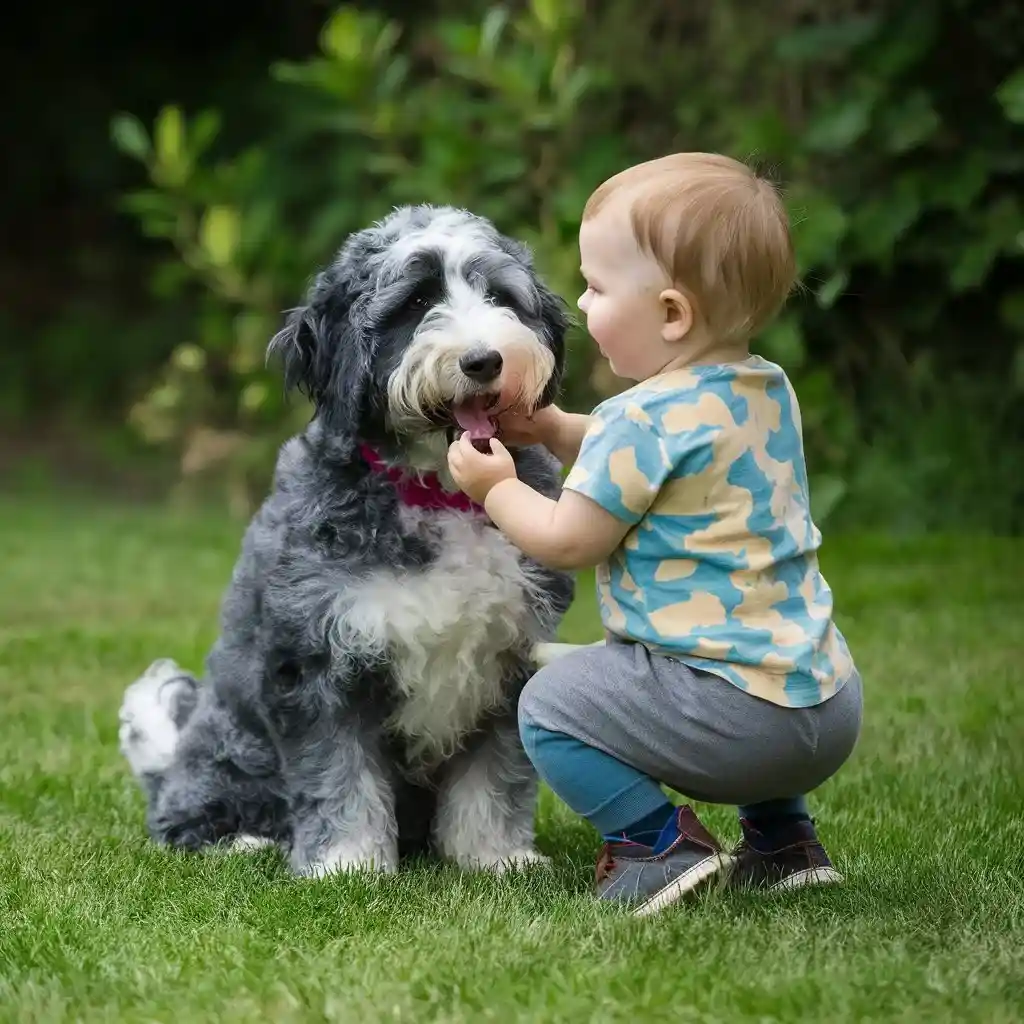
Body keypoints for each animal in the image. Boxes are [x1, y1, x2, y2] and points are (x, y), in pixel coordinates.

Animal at [117, 203, 577, 876]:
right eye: (416, 301)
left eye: (500, 296)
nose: (485, 360)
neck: (435, 491)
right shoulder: (315, 666)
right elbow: (340, 777)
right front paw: (346, 866)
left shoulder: (509, 658)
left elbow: (493, 778)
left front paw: (496, 858)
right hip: (229, 748)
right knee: (183, 820)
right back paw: (245, 842)